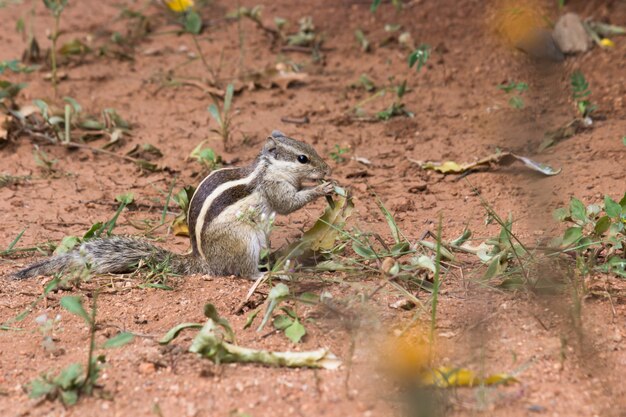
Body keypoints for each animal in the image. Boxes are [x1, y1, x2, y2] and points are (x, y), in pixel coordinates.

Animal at [11, 130, 332, 280]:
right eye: (303, 158)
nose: (327, 168)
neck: (268, 168)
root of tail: (204, 262)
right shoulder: (273, 187)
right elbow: (288, 203)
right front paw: (323, 188)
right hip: (244, 241)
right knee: (243, 272)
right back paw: (270, 272)